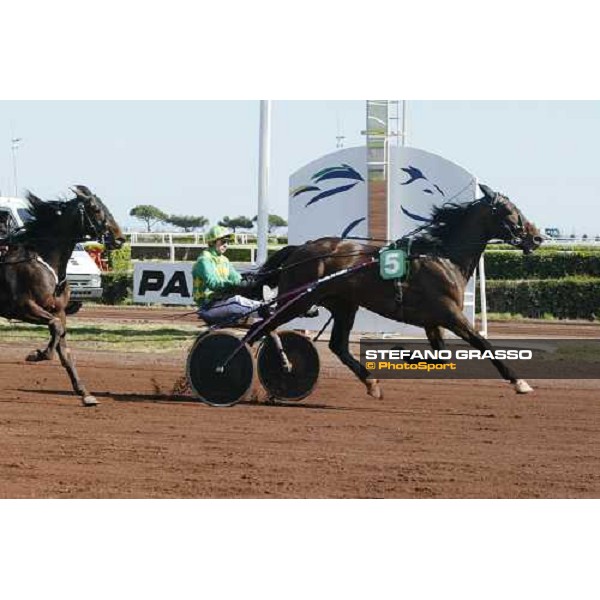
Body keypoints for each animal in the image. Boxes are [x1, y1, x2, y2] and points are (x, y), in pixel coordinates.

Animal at [0, 185, 124, 406]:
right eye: (94, 208)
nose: (119, 238)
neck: (42, 259)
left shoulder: (59, 310)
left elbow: (64, 347)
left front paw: (84, 393)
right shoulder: (23, 307)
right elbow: (56, 327)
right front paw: (38, 354)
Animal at [230, 183, 544, 398]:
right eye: (511, 211)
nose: (538, 237)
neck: (443, 257)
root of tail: (300, 249)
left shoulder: (432, 320)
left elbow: (441, 356)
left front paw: (404, 352)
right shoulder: (450, 314)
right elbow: (483, 344)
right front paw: (520, 382)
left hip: (343, 305)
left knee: (337, 345)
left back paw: (370, 382)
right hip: (298, 300)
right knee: (258, 328)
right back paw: (227, 367)